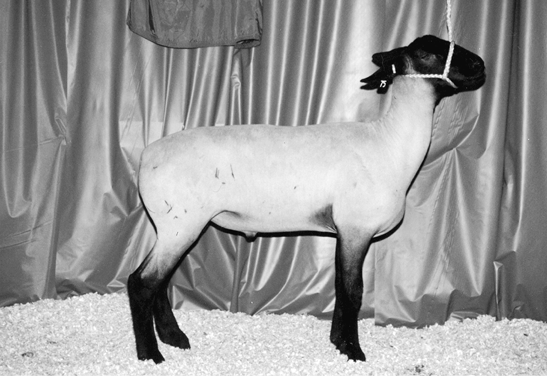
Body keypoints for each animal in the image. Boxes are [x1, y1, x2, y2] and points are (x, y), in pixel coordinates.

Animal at [126, 35, 486, 364]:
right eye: (425, 54)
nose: (480, 65)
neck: (389, 142)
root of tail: (147, 156)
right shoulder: (356, 228)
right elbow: (353, 291)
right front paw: (353, 351)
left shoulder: (345, 232)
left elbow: (340, 287)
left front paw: (338, 342)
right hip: (180, 222)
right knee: (142, 282)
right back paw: (150, 354)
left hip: (175, 226)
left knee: (159, 282)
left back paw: (174, 337)